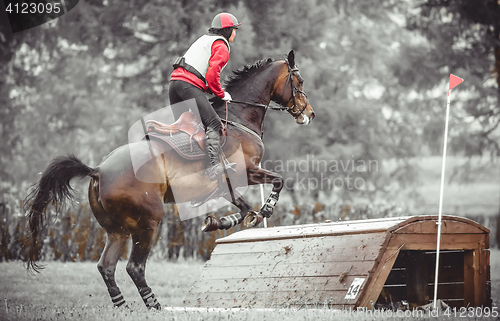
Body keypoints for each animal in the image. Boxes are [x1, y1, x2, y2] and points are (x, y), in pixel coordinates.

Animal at [24, 50, 312, 310]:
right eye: (299, 81)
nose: (309, 114)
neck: (239, 119)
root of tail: (99, 170)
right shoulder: (247, 171)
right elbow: (277, 183)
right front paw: (264, 210)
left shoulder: (225, 186)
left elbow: (243, 208)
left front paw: (220, 222)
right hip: (148, 221)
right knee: (134, 267)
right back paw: (154, 305)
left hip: (116, 229)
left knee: (106, 266)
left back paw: (123, 307)